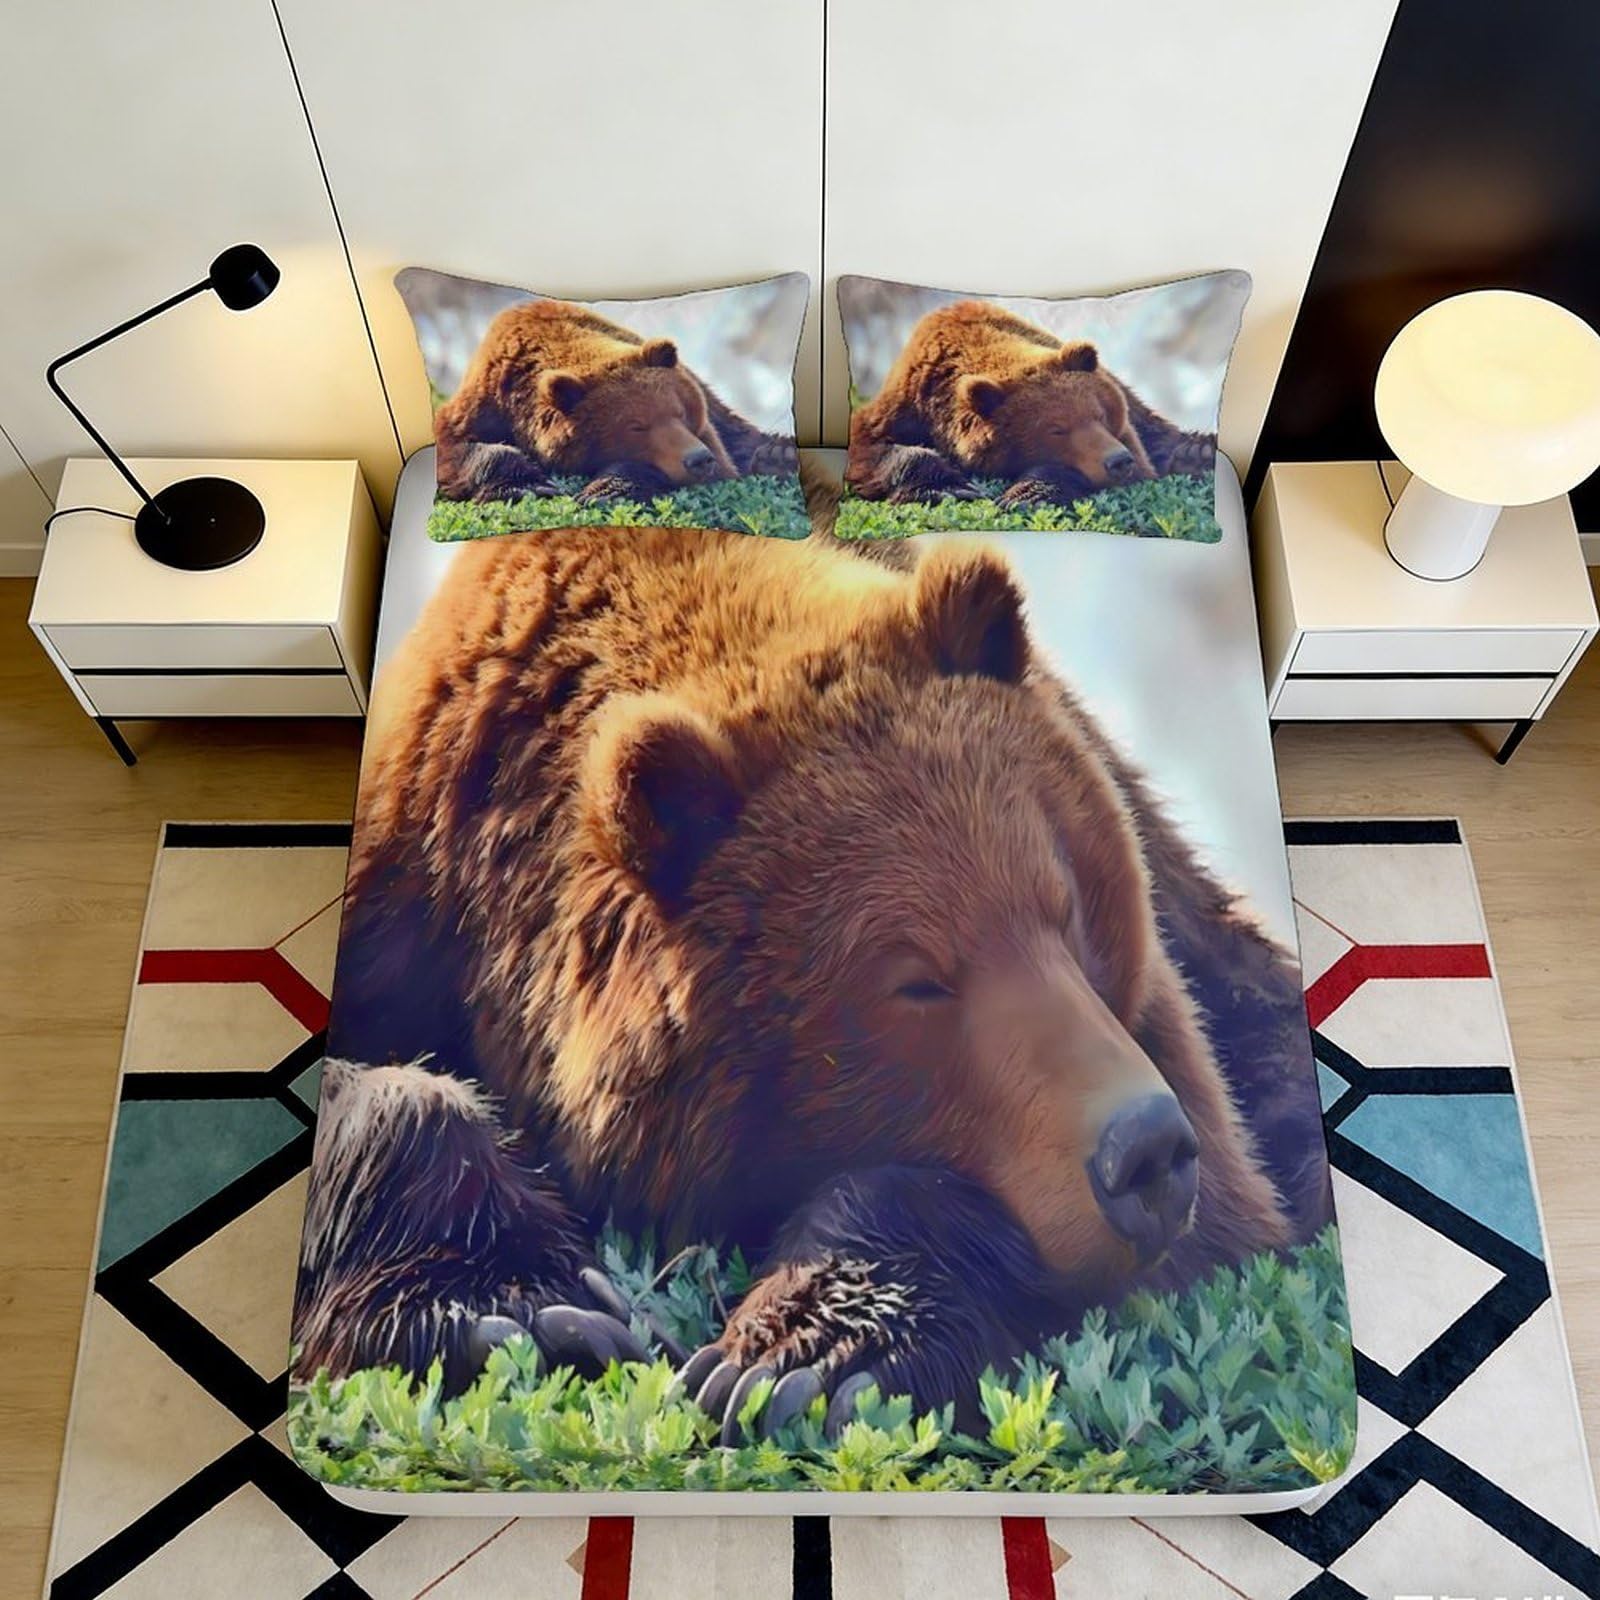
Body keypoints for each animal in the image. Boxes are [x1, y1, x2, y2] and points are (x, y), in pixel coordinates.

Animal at [293, 523, 1328, 1435]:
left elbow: (1227, 1215)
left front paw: (802, 1357)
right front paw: (525, 1311)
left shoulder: (1163, 1028)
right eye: (916, 979)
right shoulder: (408, 892)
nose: (1145, 1153)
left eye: (1066, 907)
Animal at [432, 299, 798, 505]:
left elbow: (724, 463)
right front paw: (529, 486)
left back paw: (777, 455)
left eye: (680, 413)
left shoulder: (707, 432)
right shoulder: (484, 401)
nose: (698, 460)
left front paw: (604, 490)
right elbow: (460, 447)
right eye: (636, 426)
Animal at [846, 299, 1217, 509]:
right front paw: (951, 489)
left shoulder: (1126, 434)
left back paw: (1197, 451)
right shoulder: (904, 404)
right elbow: (875, 447)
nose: (1117, 461)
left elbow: (1141, 462)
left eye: (1099, 415)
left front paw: (1025, 494)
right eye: (1056, 430)